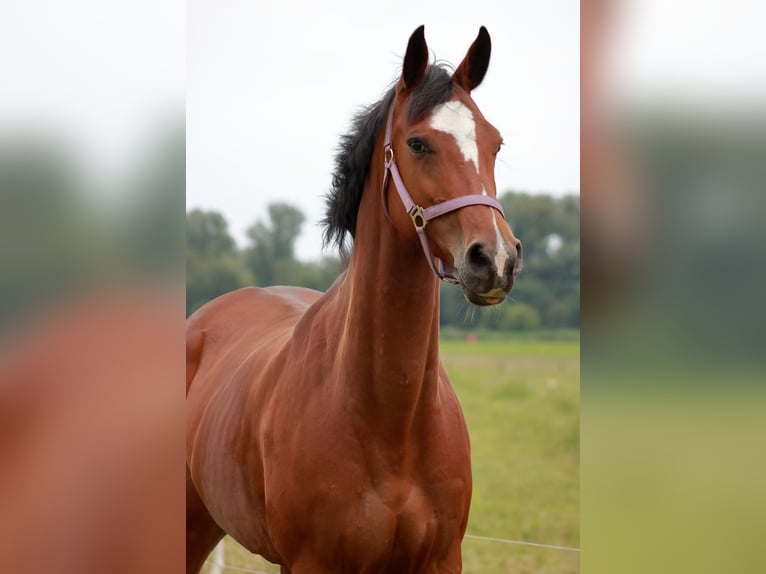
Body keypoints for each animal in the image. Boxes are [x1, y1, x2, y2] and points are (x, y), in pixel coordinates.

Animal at [186, 24, 520, 572]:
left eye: (495, 143)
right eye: (418, 143)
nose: (495, 259)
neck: (392, 422)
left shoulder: (442, 559)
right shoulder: (312, 562)